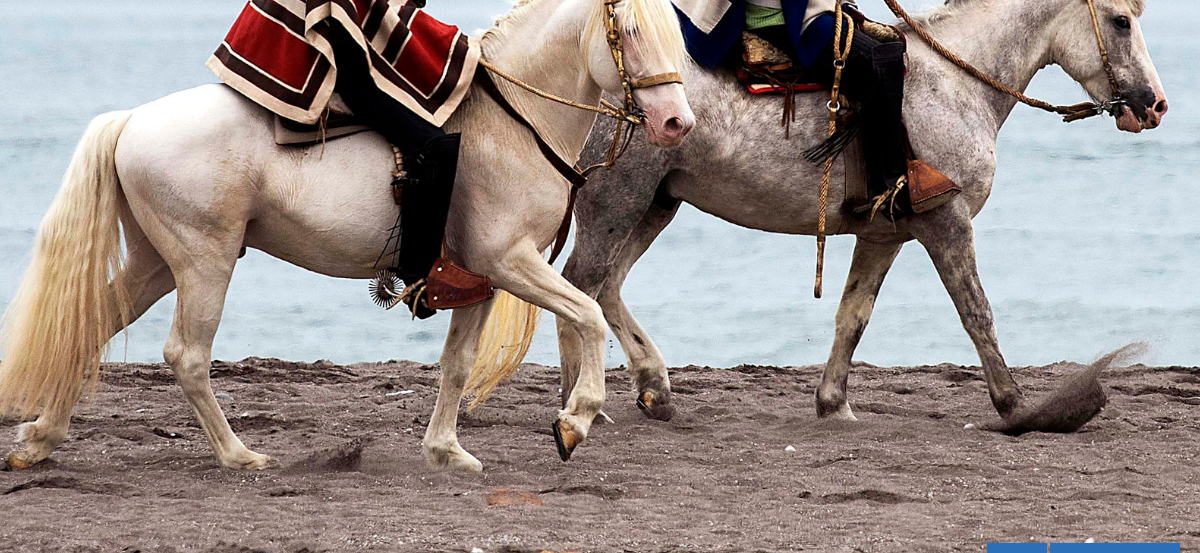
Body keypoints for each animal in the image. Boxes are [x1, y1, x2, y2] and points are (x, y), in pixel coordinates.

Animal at [0, 0, 694, 473]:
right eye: (633, 33)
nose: (677, 123)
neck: (515, 123)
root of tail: (133, 120)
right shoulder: (512, 261)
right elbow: (588, 316)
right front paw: (574, 421)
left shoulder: (480, 277)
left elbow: (456, 364)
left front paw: (446, 452)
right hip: (204, 259)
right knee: (187, 356)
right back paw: (238, 455)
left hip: (156, 262)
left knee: (95, 320)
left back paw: (39, 440)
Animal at [555, 0, 1167, 430]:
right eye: (1119, 21)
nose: (1154, 104)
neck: (954, 85)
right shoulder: (948, 223)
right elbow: (977, 312)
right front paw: (1016, 406)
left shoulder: (883, 235)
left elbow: (853, 315)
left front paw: (833, 404)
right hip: (618, 198)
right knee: (581, 286)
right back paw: (580, 407)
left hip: (656, 203)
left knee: (607, 287)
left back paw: (653, 388)